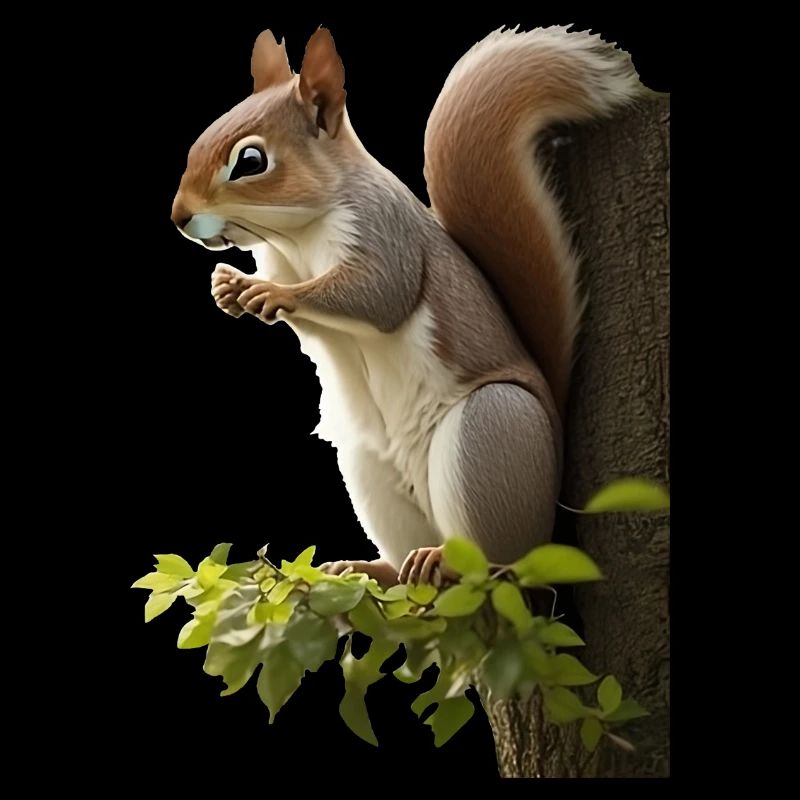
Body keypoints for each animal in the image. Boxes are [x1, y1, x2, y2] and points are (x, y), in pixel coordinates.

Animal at [171, 26, 644, 587]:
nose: (179, 217)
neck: (297, 236)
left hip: (494, 433)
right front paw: (230, 289)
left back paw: (454, 561)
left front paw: (270, 294)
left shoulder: (383, 231)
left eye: (250, 162)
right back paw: (372, 566)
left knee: (496, 560)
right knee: (402, 559)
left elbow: (379, 295)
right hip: (369, 468)